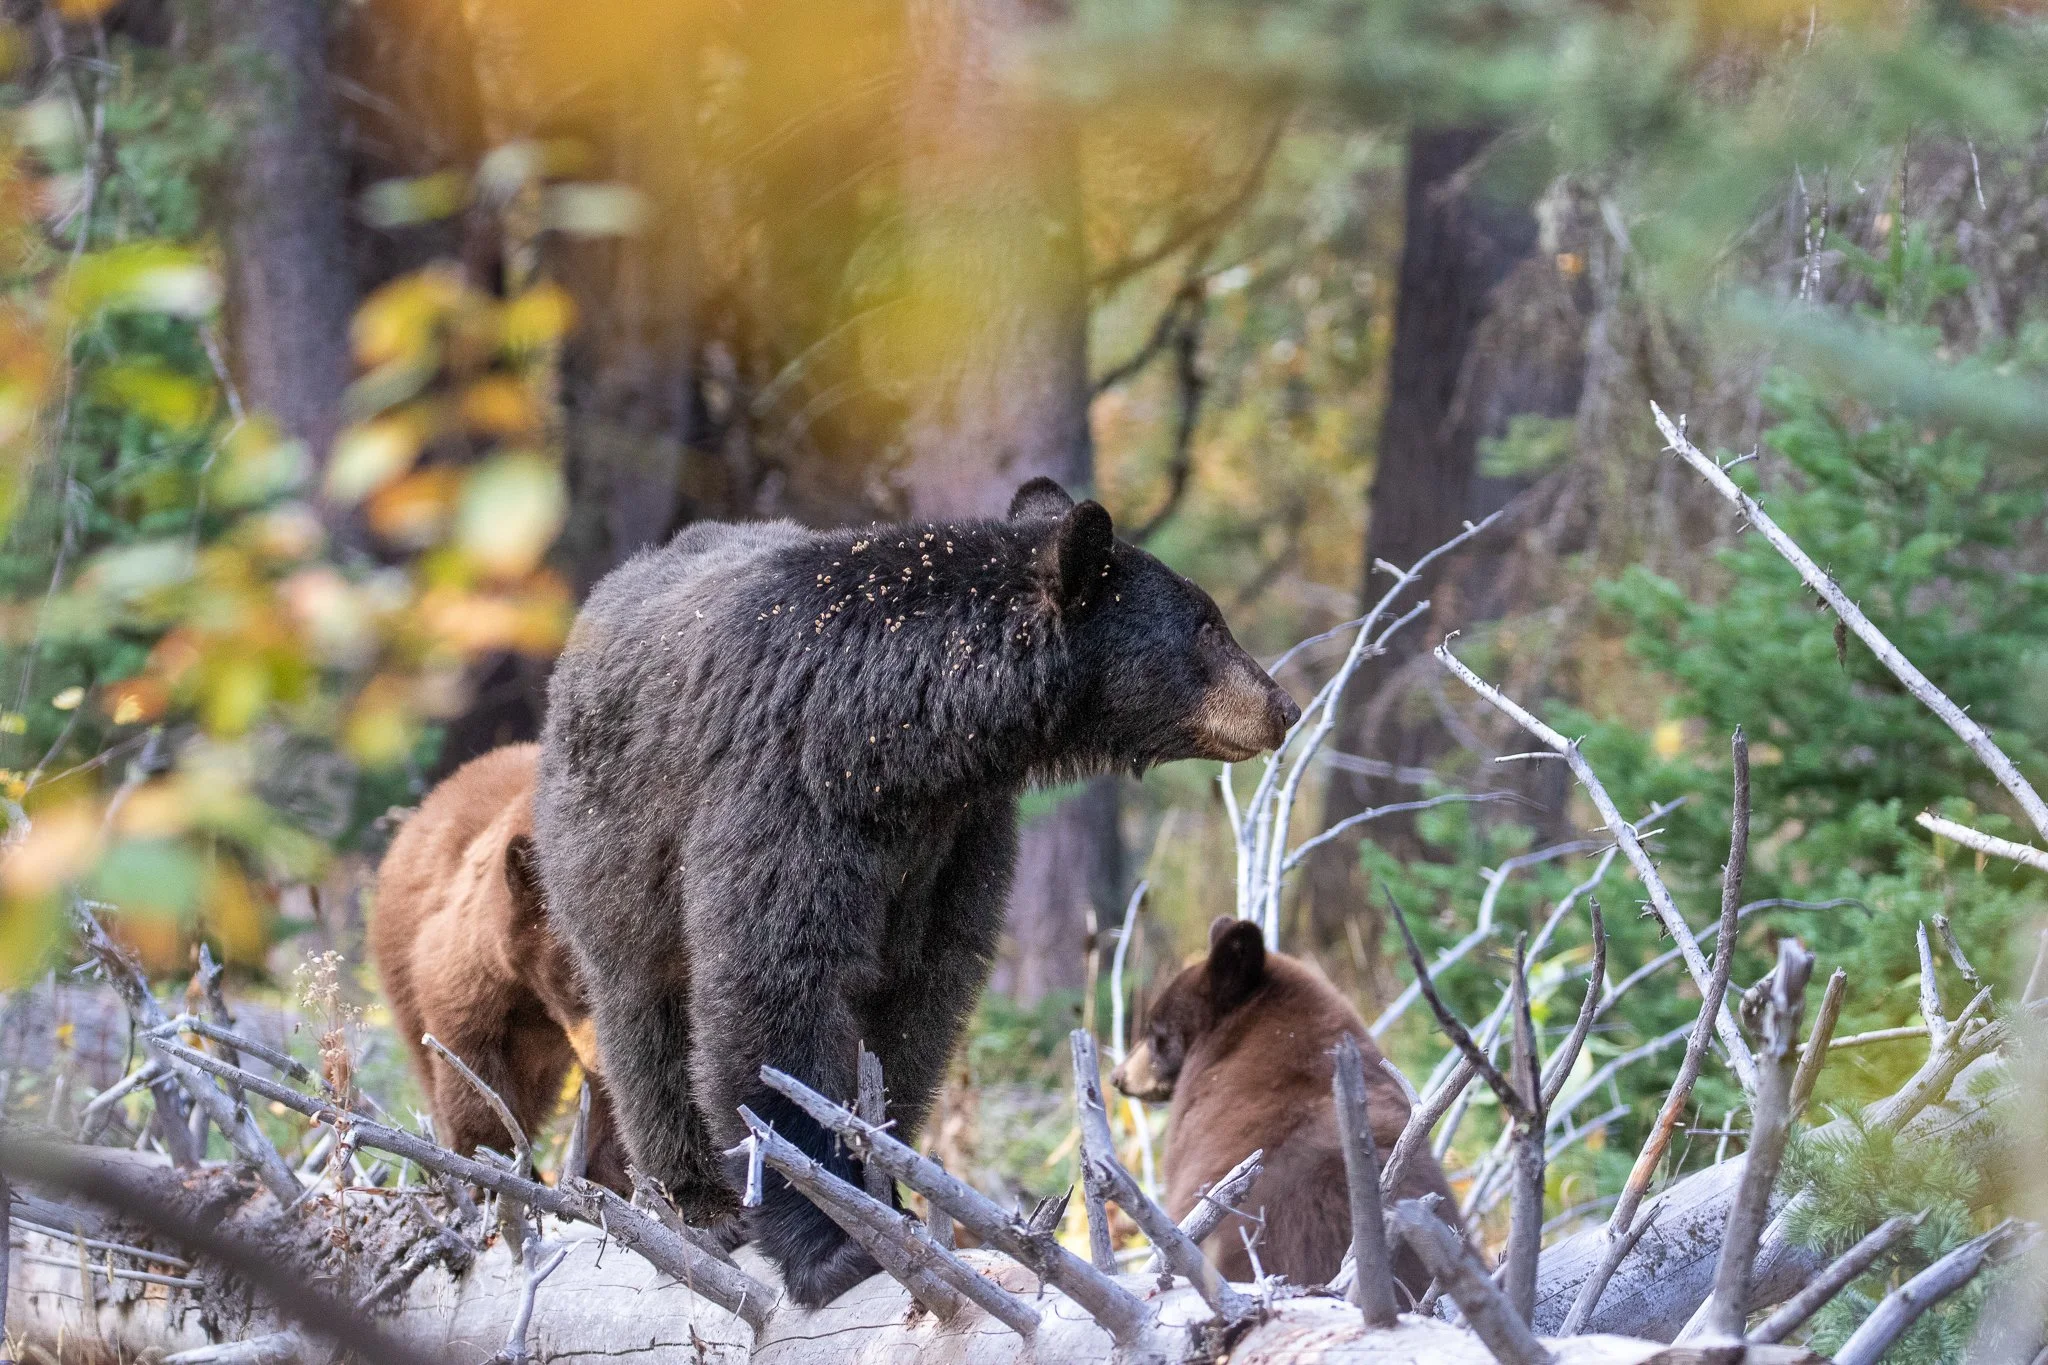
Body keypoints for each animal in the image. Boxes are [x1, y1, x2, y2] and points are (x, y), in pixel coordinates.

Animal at [533, 478, 1300, 1307]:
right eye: (1206, 624)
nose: (1283, 707)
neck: (901, 740)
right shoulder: (789, 792)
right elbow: (774, 991)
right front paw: (832, 1242)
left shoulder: (954, 841)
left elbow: (914, 1005)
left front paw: (886, 1183)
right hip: (609, 843)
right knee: (642, 1010)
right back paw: (697, 1199)